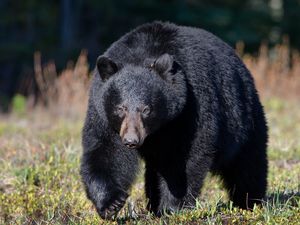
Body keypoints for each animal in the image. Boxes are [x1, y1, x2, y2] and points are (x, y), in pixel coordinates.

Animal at [81, 21, 268, 218]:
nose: (131, 140)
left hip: (244, 118)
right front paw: (111, 203)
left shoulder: (191, 106)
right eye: (120, 108)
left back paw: (249, 201)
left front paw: (173, 206)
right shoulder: (103, 113)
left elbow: (185, 157)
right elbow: (105, 150)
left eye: (146, 109)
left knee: (248, 163)